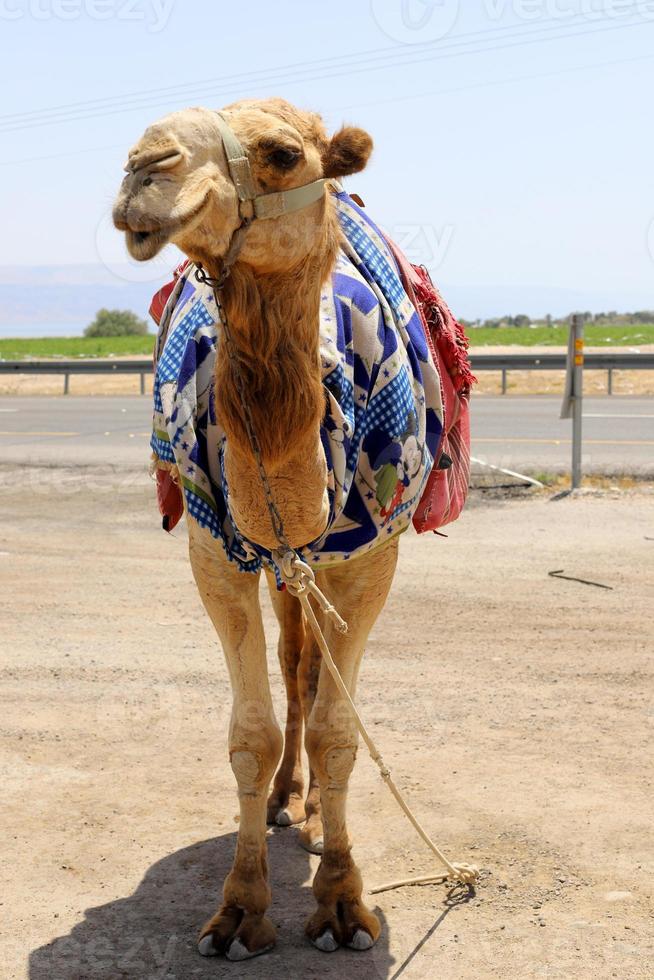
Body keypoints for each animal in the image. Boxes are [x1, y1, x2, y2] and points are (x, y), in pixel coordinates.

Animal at [114, 97, 446, 956]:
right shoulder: (218, 553)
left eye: (283, 153)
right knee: (293, 663)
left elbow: (339, 729)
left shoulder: (369, 556)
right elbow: (251, 734)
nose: (143, 167)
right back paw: (284, 801)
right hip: (275, 565)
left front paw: (342, 904)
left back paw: (313, 817)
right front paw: (240, 911)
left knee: (312, 672)